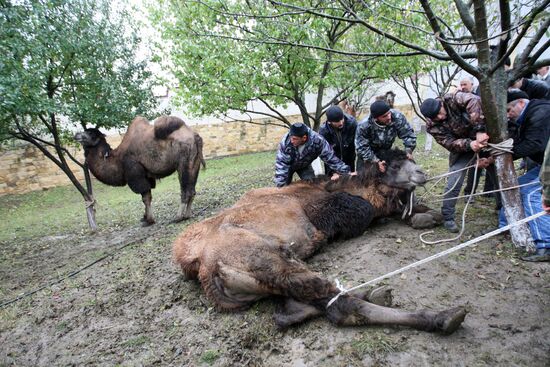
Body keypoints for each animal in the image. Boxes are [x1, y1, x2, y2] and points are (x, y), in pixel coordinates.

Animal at [76, 115, 207, 224]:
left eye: (91, 134)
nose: (76, 135)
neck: (117, 158)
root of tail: (195, 136)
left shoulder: (136, 174)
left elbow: (145, 197)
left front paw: (149, 220)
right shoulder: (147, 175)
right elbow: (147, 196)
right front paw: (144, 218)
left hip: (183, 163)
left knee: (185, 191)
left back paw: (178, 217)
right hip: (194, 163)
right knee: (192, 190)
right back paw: (187, 215)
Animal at [175, 150, 468, 334]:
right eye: (394, 166)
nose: (421, 173)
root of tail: (203, 266)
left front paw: (428, 215)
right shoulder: (325, 211)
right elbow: (364, 211)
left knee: (299, 304)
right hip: (270, 259)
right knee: (337, 305)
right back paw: (442, 318)